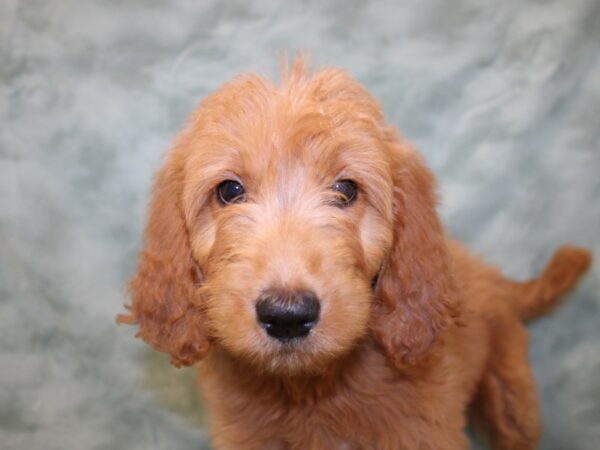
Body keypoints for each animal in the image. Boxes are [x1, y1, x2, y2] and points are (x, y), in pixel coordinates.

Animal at [117, 59, 592, 450]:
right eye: (230, 191)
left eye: (346, 190)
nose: (287, 315)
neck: (311, 387)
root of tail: (497, 279)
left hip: (514, 400)